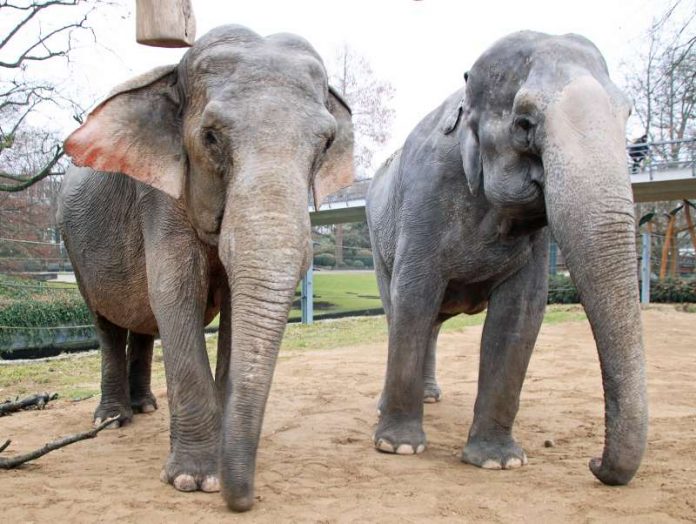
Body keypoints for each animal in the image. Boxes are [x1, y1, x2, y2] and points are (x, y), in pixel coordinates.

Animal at [57, 25, 354, 512]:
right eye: (211, 137)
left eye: (326, 143)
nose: (243, 500)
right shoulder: (160, 194)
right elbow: (176, 292)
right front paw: (195, 480)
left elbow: (232, 308)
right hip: (73, 247)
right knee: (106, 323)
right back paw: (113, 420)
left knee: (142, 324)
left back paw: (146, 407)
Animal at [368, 30, 648, 486]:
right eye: (524, 123)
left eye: (627, 114)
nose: (594, 463)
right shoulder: (424, 198)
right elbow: (413, 296)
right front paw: (398, 447)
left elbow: (521, 313)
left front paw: (499, 462)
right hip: (379, 240)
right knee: (400, 307)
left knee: (434, 321)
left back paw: (431, 397)